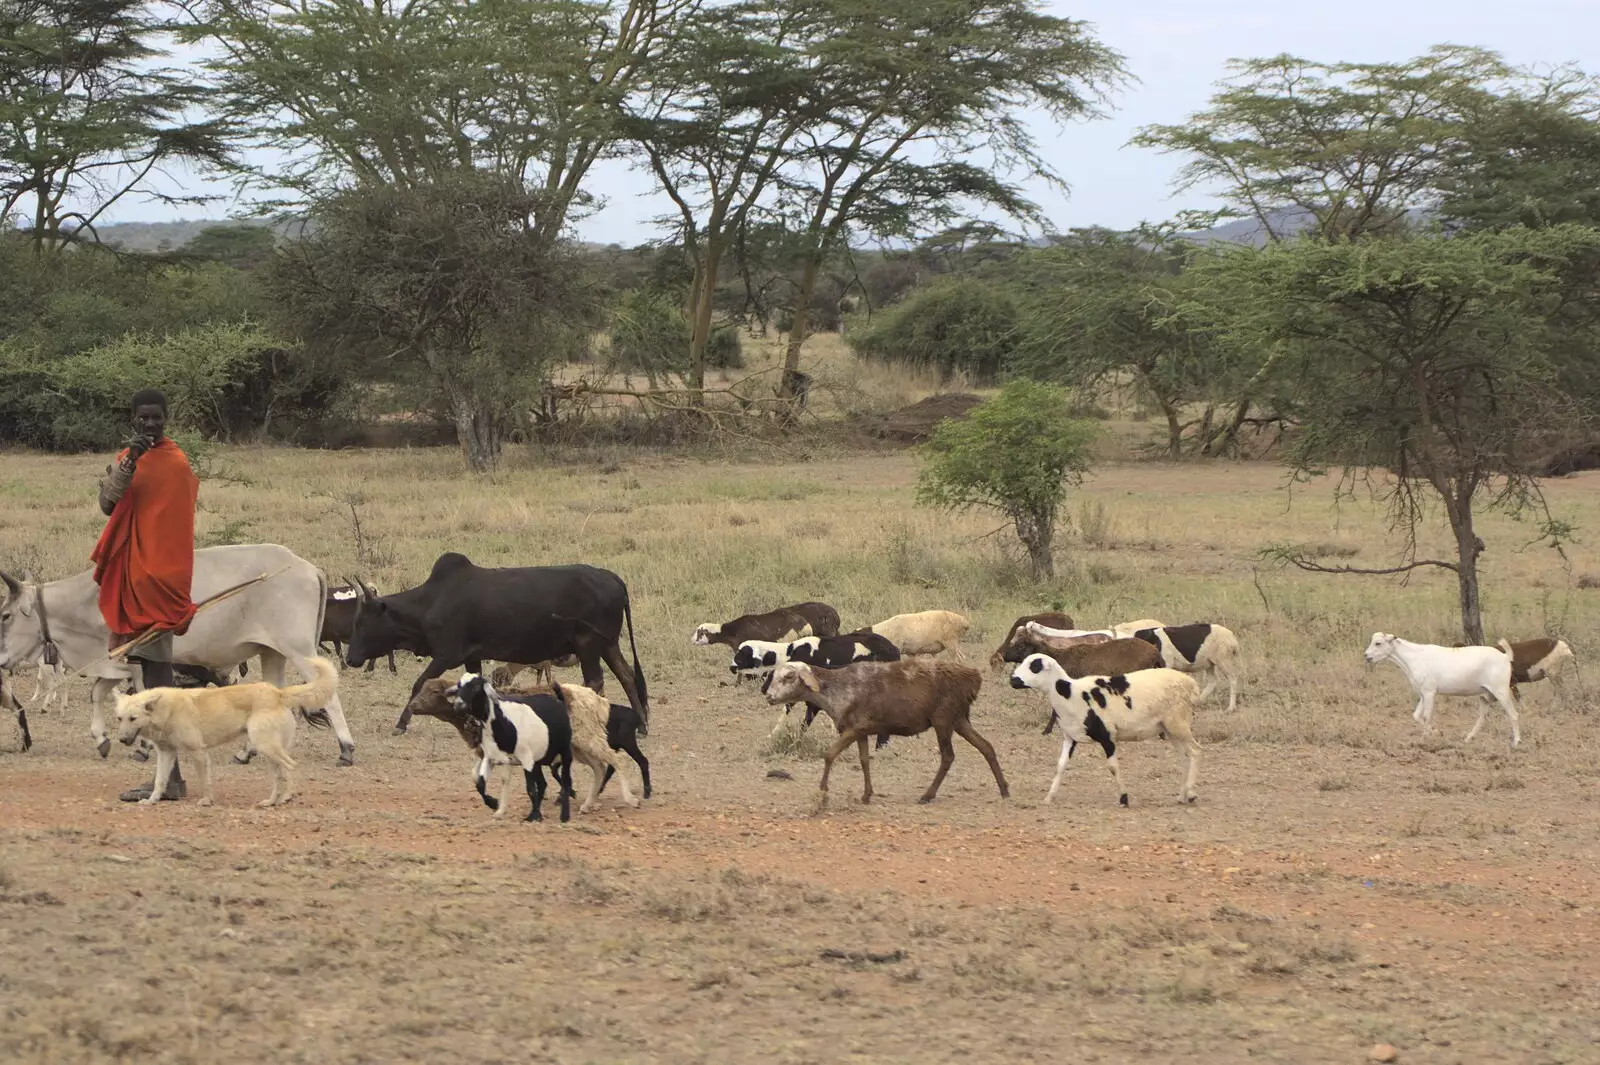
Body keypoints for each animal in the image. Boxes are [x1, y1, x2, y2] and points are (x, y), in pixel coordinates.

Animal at [352, 550, 649, 735]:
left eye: (362, 623)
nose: (350, 658)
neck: (432, 600)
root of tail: (611, 577)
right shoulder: (472, 657)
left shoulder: (447, 654)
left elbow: (419, 683)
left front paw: (401, 724)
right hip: (607, 645)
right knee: (627, 675)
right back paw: (642, 726)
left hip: (588, 645)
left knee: (595, 681)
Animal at [448, 671, 572, 818]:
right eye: (459, 686)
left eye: (476, 687)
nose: (458, 705)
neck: (503, 721)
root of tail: (558, 701)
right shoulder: (490, 757)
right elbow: (480, 784)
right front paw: (493, 803)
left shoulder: (525, 759)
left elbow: (530, 788)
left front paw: (534, 815)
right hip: (538, 760)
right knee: (543, 783)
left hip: (563, 751)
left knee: (560, 778)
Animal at [764, 652, 1011, 809]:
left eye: (789, 676)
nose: (769, 696)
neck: (835, 691)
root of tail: (973, 677)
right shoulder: (861, 731)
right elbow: (864, 760)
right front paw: (866, 795)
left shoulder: (855, 727)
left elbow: (830, 754)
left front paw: (823, 792)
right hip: (959, 719)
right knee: (986, 747)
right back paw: (1004, 790)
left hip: (943, 718)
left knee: (948, 756)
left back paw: (927, 795)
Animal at [1011, 646, 1203, 805]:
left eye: (1034, 666)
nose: (1012, 680)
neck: (1070, 695)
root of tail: (1191, 684)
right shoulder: (1070, 737)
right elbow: (1060, 766)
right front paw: (1048, 797)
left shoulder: (1107, 736)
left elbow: (1113, 767)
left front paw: (1124, 798)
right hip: (1169, 728)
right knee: (1184, 756)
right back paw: (1182, 796)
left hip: (1178, 722)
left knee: (1195, 751)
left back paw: (1192, 793)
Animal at [1369, 630, 1516, 745]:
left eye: (1378, 643)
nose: (1367, 656)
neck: (1415, 657)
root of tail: (1505, 656)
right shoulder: (1423, 693)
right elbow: (1416, 715)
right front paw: (1436, 732)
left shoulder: (1429, 693)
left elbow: (1426, 716)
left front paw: (1424, 739)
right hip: (1484, 695)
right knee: (1482, 717)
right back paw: (1468, 738)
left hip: (1501, 691)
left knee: (1513, 714)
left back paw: (1516, 742)